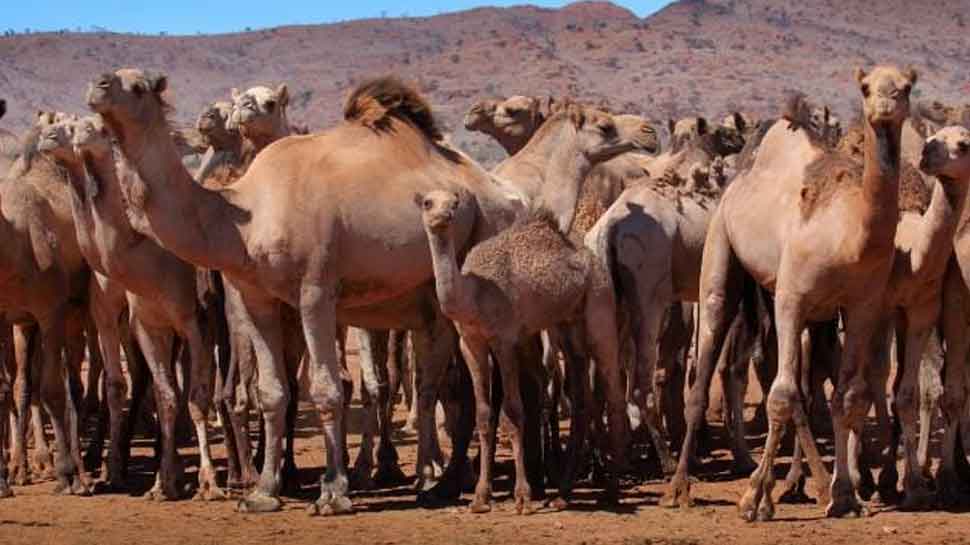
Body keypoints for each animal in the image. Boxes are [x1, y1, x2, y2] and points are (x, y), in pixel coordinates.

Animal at [660, 66, 920, 520]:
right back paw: (680, 487)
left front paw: (846, 494)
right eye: (865, 87)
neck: (850, 234)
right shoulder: (791, 299)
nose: (885, 103)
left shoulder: (862, 306)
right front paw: (753, 499)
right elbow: (781, 396)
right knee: (709, 362)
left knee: (799, 384)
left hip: (803, 309)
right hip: (722, 252)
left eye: (905, 87)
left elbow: (846, 397)